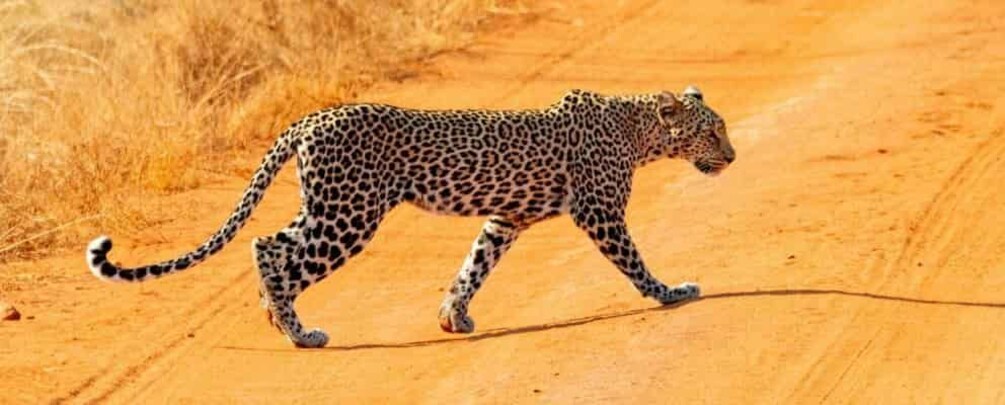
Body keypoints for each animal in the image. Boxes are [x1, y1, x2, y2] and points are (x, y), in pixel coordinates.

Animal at [86, 86, 735, 348]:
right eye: (712, 131)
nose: (731, 156)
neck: (640, 130)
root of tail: (309, 119)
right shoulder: (600, 214)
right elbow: (636, 263)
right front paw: (673, 292)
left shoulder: (505, 219)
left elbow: (474, 266)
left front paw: (453, 316)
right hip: (349, 216)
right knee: (275, 255)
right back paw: (299, 332)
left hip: (325, 208)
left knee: (266, 244)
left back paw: (278, 319)